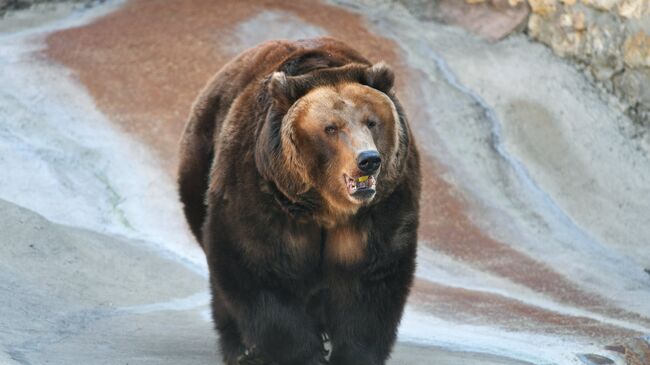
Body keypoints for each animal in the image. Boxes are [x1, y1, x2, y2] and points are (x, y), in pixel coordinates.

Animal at [177, 37, 420, 364]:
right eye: (331, 128)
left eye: (371, 122)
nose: (368, 159)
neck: (326, 208)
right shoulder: (264, 197)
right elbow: (261, 270)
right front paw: (302, 353)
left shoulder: (378, 211)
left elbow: (368, 283)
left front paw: (350, 353)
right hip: (201, 162)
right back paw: (240, 348)